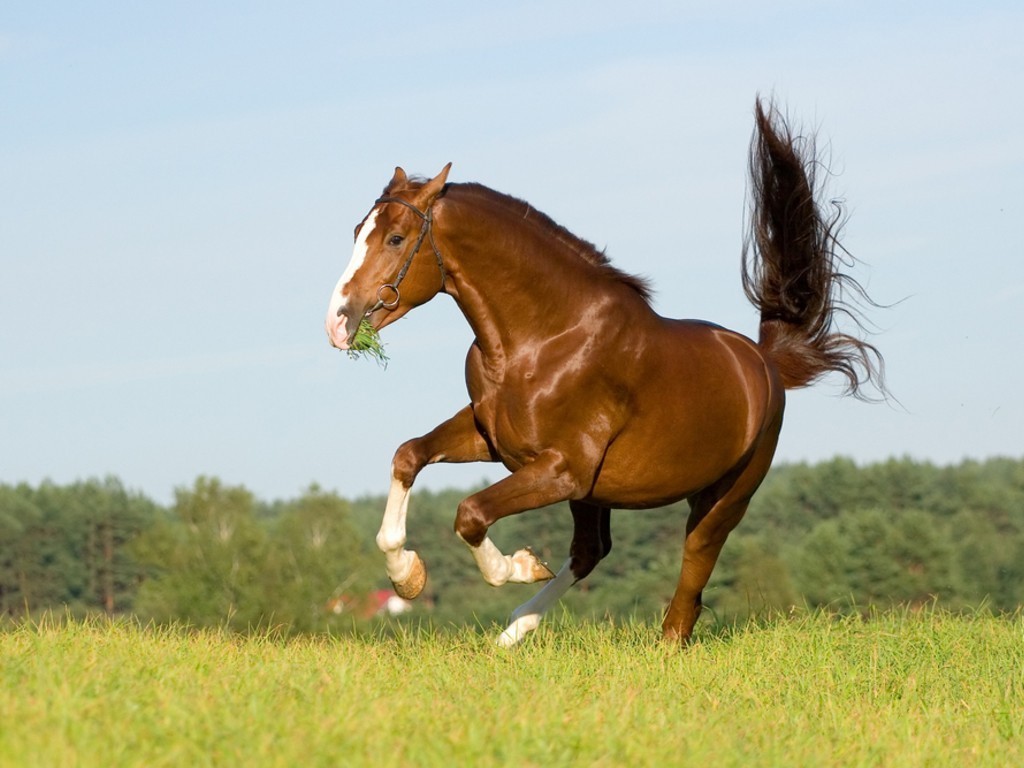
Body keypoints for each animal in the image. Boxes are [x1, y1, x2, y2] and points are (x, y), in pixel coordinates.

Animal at [325, 99, 880, 647]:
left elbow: (471, 513)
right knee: (592, 551)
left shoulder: (563, 468)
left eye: (396, 238)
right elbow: (408, 456)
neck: (542, 339)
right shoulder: (495, 440)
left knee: (694, 563)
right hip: (597, 495)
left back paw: (660, 640)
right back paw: (512, 635)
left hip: (725, 495)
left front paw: (519, 565)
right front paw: (407, 575)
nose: (338, 322)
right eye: (356, 233)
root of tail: (765, 363)